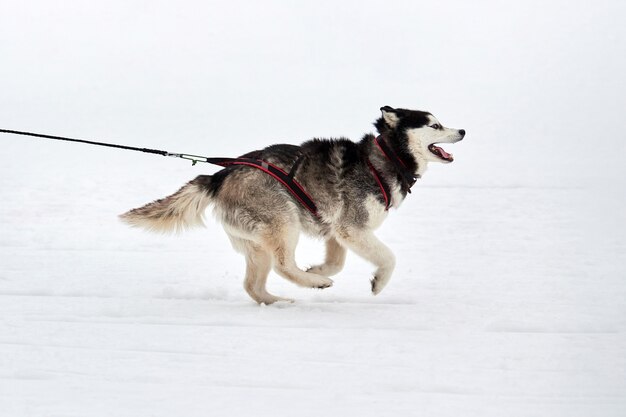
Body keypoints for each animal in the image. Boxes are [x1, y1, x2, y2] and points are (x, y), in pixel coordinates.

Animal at [120, 105, 464, 304]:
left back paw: (282, 299)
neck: (384, 159)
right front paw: (377, 283)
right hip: (284, 220)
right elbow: (389, 257)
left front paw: (319, 267)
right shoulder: (352, 228)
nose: (462, 130)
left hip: (258, 242)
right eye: (434, 125)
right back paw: (316, 283)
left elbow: (337, 261)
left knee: (252, 285)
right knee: (283, 265)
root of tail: (220, 175)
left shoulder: (336, 231)